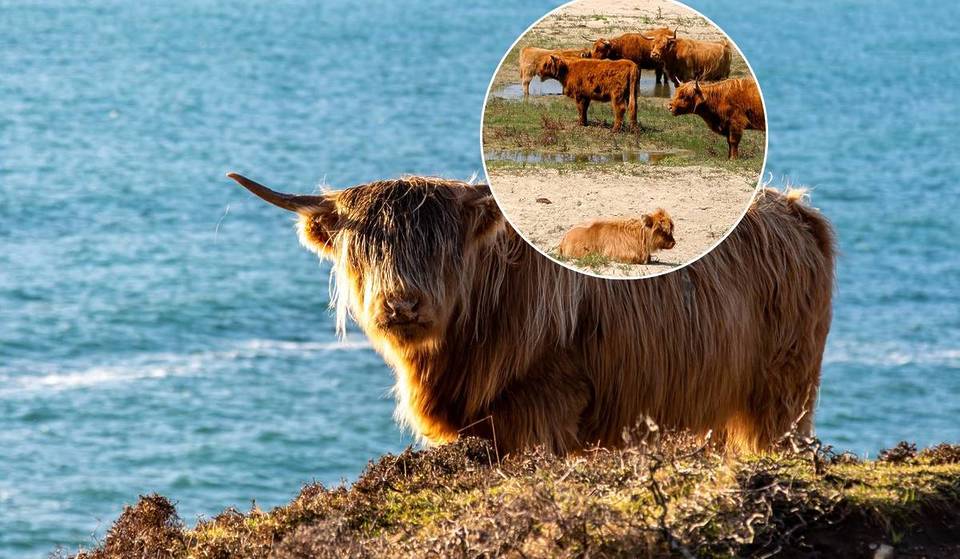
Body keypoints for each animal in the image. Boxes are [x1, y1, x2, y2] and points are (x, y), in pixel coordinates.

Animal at [227, 172, 834, 456]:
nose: (402, 303)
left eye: (439, 247)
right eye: (366, 249)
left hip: (784, 392)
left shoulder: (544, 408)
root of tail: (795, 208)